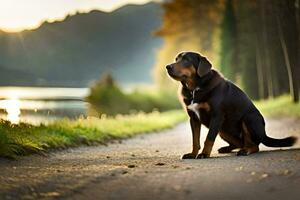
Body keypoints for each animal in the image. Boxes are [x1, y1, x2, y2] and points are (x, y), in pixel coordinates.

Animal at [166, 52, 298, 159]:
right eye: (176, 59)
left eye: (186, 60)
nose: (167, 66)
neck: (195, 88)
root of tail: (264, 135)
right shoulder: (193, 119)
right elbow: (195, 140)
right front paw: (193, 154)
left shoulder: (216, 116)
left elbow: (208, 139)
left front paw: (204, 154)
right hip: (223, 131)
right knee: (240, 143)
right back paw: (227, 149)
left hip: (248, 119)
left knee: (254, 145)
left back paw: (245, 151)